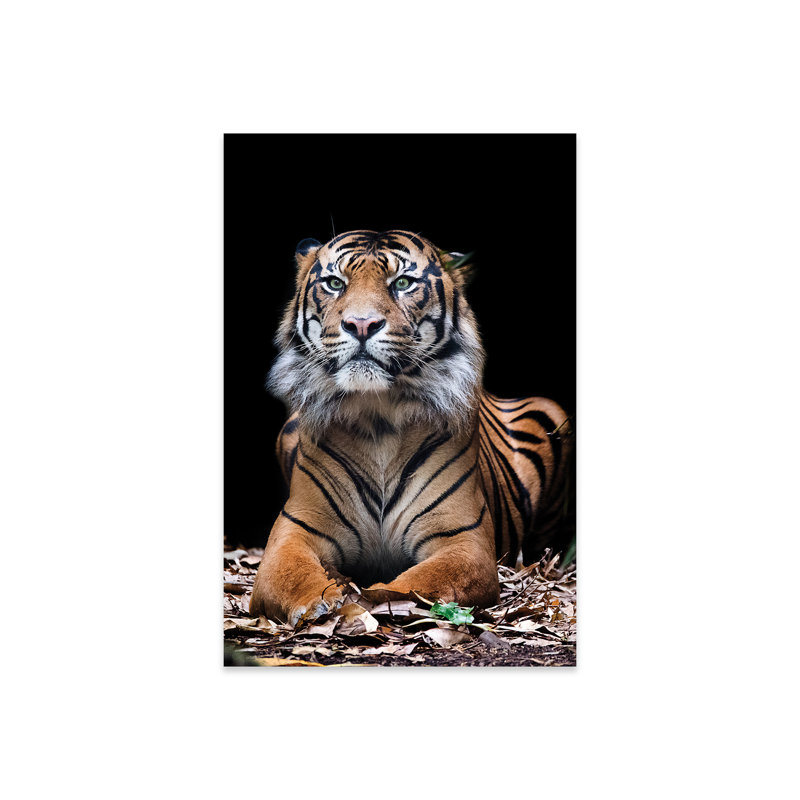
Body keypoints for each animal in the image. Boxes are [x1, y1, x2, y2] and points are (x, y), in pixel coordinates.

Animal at [250, 230, 573, 626]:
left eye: (402, 283)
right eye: (335, 283)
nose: (361, 324)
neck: (376, 415)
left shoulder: (464, 542)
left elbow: (413, 584)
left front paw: (363, 600)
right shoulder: (295, 530)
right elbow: (289, 575)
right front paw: (323, 602)